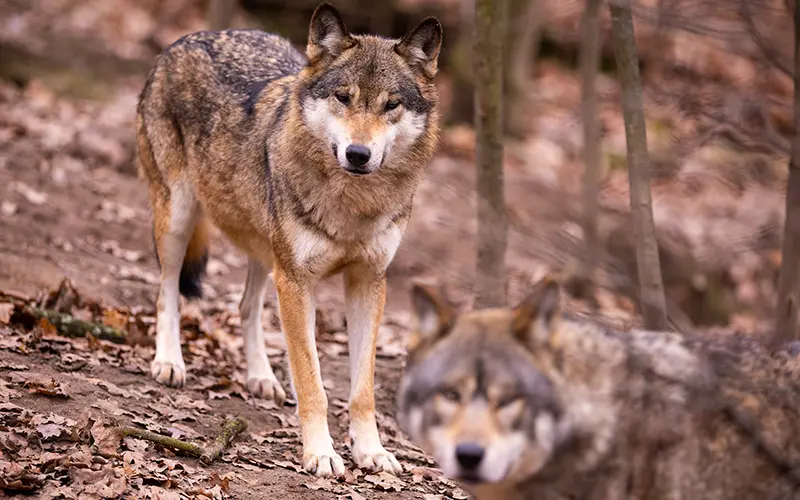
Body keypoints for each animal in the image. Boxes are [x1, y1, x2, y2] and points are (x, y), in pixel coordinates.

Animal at [136, 2, 442, 477]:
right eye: (343, 97)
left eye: (391, 104)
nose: (358, 154)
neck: (353, 206)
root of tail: (186, 38)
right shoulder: (297, 282)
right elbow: (312, 381)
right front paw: (320, 453)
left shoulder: (369, 283)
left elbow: (363, 389)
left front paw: (371, 451)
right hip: (178, 219)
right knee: (166, 290)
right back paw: (169, 362)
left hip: (266, 251)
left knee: (246, 307)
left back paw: (261, 378)